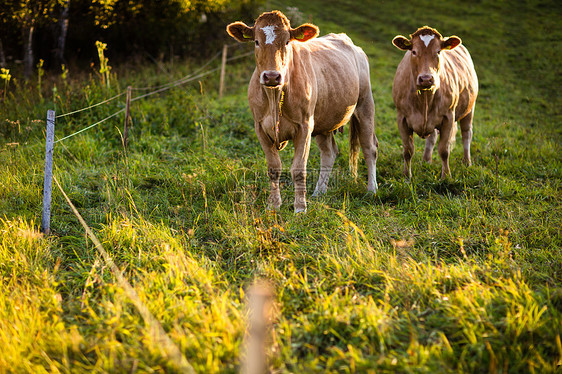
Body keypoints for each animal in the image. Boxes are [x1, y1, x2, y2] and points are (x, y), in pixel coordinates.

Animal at [224, 10, 376, 212]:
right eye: (256, 41)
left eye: (287, 41)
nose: (271, 76)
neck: (274, 97)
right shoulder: (260, 128)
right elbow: (273, 168)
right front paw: (273, 205)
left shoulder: (304, 127)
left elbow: (298, 169)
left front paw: (300, 208)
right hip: (324, 121)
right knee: (329, 152)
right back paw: (319, 192)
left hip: (365, 105)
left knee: (369, 148)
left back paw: (372, 190)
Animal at [390, 25, 476, 179]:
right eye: (414, 51)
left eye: (438, 51)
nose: (426, 79)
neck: (424, 99)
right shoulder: (402, 118)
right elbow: (408, 150)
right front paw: (407, 176)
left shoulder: (448, 117)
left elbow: (444, 150)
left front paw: (446, 176)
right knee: (432, 138)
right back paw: (426, 161)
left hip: (469, 109)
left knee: (467, 134)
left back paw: (467, 162)